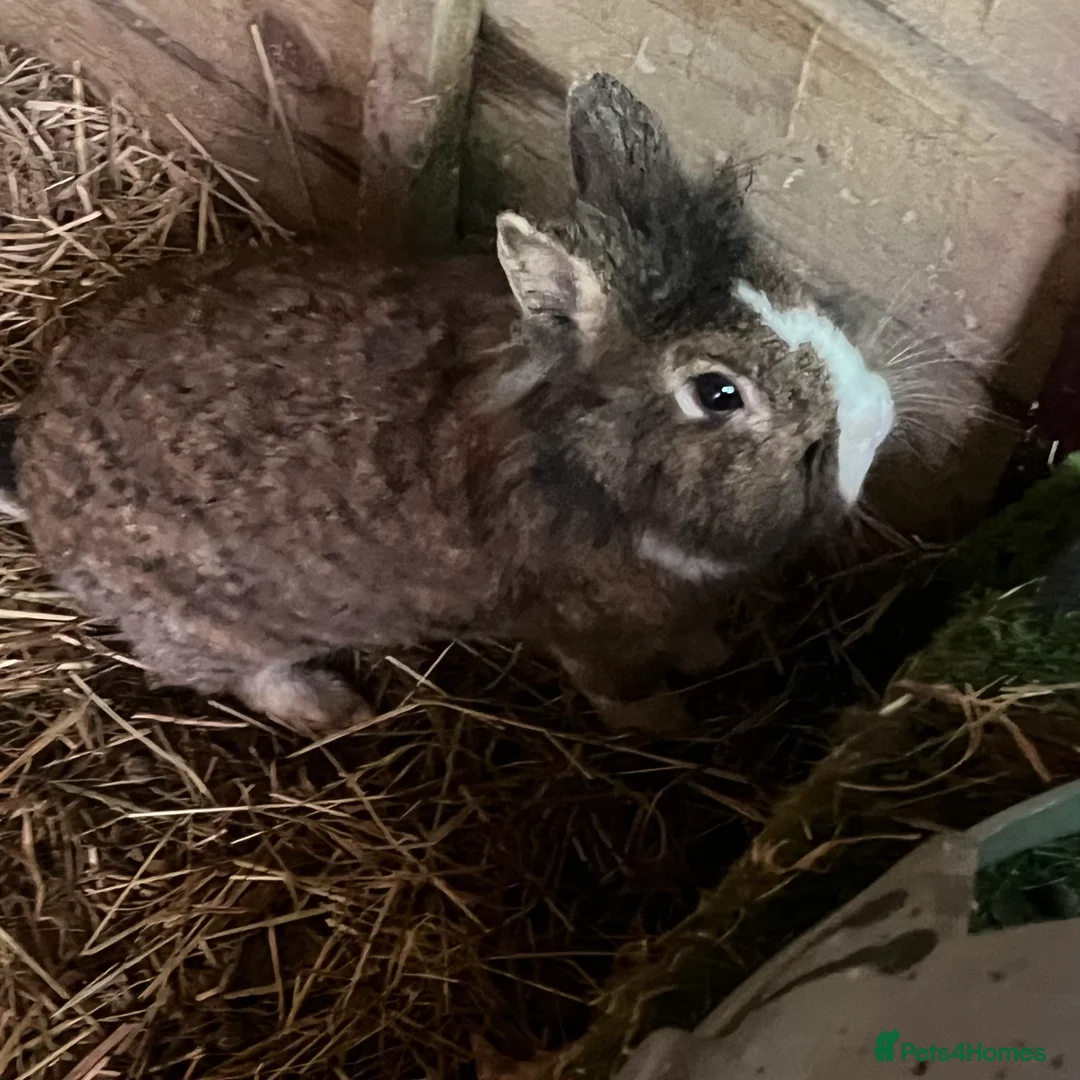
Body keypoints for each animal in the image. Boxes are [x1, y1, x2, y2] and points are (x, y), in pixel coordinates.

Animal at [0, 73, 984, 738]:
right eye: (717, 393)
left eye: (792, 289)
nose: (877, 420)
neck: (587, 456)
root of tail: (35, 478)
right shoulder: (591, 630)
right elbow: (619, 687)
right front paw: (669, 722)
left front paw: (713, 657)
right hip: (220, 627)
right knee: (245, 674)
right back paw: (330, 707)